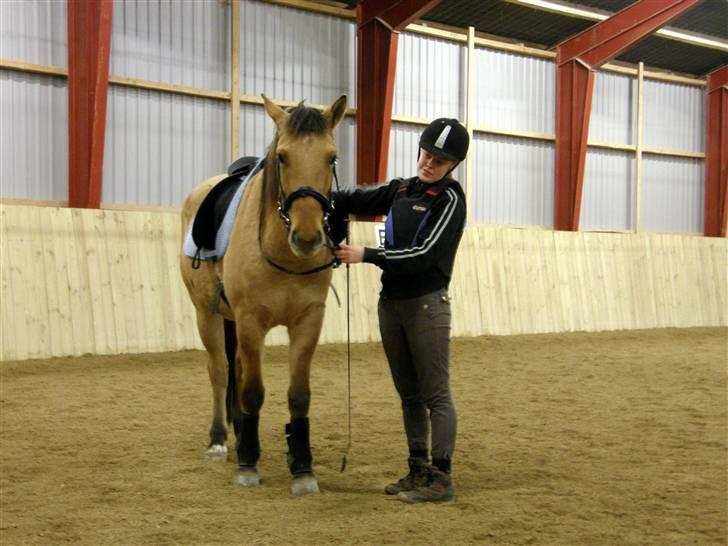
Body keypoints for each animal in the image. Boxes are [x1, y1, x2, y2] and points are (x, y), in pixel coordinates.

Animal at [177, 93, 346, 492]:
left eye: (331, 157)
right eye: (282, 156)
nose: (307, 237)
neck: (282, 254)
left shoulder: (307, 322)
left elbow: (298, 395)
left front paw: (302, 470)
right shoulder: (251, 321)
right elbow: (253, 390)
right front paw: (247, 465)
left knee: (236, 369)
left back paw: (241, 432)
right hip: (207, 315)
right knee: (220, 370)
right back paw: (220, 440)